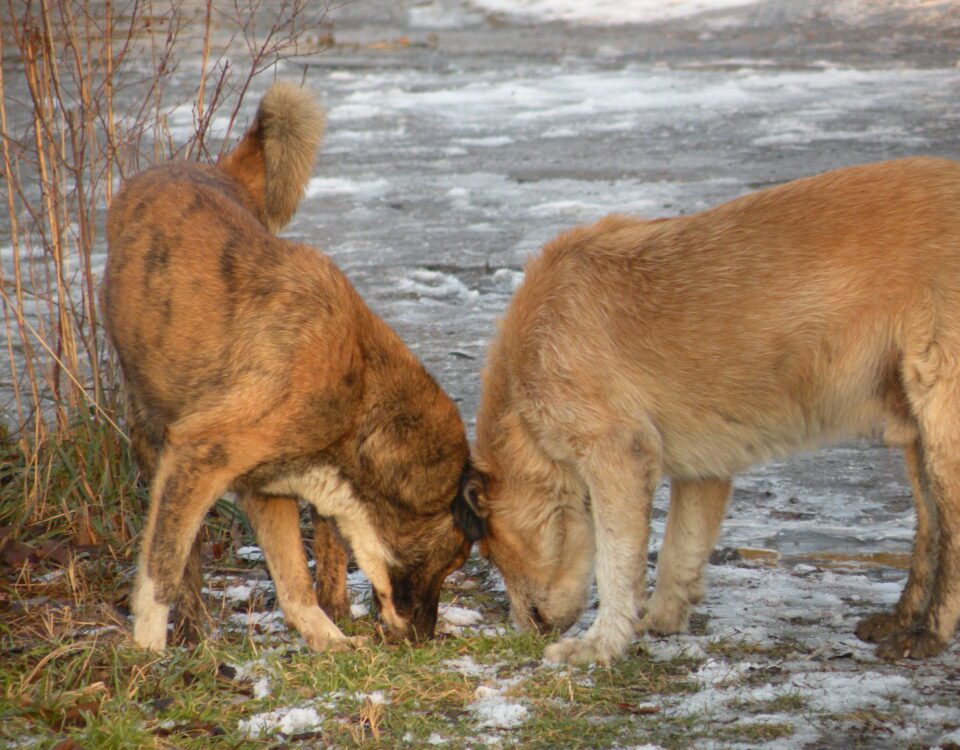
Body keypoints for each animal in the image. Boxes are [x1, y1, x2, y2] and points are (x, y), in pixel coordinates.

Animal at [101, 82, 484, 652]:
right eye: (454, 559)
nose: (423, 638)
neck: (359, 398)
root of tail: (204, 168)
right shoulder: (199, 456)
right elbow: (159, 572)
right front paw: (146, 655)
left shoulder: (266, 489)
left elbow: (295, 584)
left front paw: (331, 641)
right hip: (149, 436)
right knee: (183, 560)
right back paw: (188, 629)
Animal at [468, 159, 960, 664]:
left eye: (488, 551)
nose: (524, 630)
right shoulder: (703, 471)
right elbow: (679, 553)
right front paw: (659, 623)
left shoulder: (618, 454)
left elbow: (616, 564)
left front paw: (599, 645)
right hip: (918, 435)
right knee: (930, 532)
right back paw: (901, 620)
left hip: (944, 426)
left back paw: (928, 635)